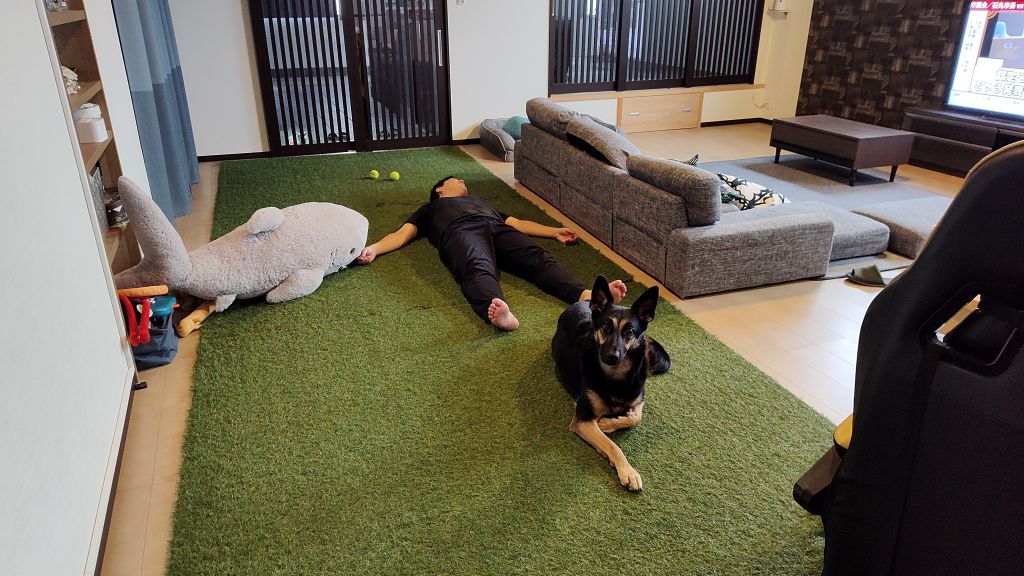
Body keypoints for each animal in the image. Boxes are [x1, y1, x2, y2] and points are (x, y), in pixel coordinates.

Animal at [551, 276, 671, 491]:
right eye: (606, 327)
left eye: (629, 331)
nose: (611, 356)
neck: (616, 378)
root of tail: (583, 302)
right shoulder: (582, 420)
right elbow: (613, 445)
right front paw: (628, 471)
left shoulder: (639, 398)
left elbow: (635, 417)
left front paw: (607, 423)